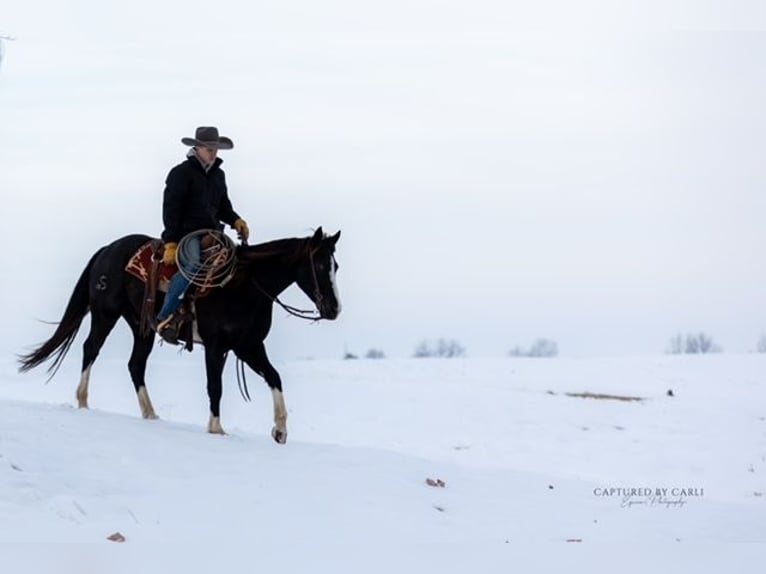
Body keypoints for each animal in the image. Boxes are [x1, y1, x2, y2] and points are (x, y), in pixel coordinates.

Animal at [18, 227, 341, 441]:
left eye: (335, 265)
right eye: (321, 265)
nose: (334, 308)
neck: (243, 286)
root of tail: (108, 248)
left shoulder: (248, 346)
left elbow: (274, 377)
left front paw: (280, 429)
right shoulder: (216, 345)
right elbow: (215, 386)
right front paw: (216, 428)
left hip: (141, 326)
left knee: (135, 364)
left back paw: (150, 414)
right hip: (105, 314)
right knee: (91, 348)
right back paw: (83, 402)